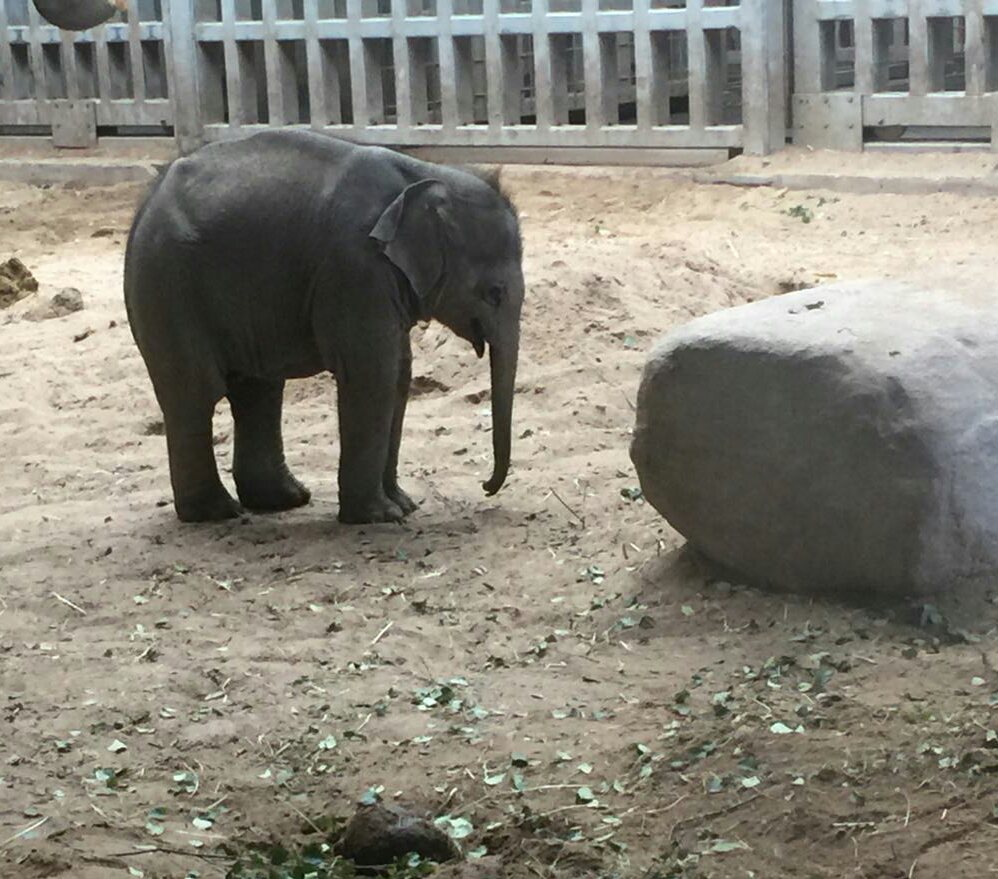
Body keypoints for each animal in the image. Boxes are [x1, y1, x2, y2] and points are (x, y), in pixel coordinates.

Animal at [124, 130, 524, 525]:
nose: (486, 486)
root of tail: (146, 203)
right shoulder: (355, 268)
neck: (423, 175)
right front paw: (381, 516)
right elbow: (373, 374)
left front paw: (405, 505)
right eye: (494, 293)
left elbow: (399, 373)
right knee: (194, 394)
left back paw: (284, 500)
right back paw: (218, 512)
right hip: (168, 288)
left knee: (258, 391)